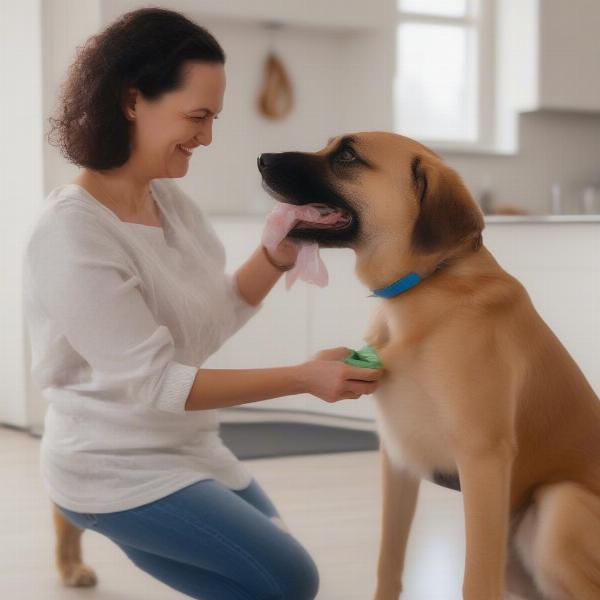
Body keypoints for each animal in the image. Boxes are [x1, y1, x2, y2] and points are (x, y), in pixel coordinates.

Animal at [258, 134, 600, 600]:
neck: (427, 286)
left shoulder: (482, 460)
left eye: (347, 155)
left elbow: (475, 580)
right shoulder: (398, 457)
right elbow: (389, 562)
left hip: (557, 508)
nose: (261, 159)